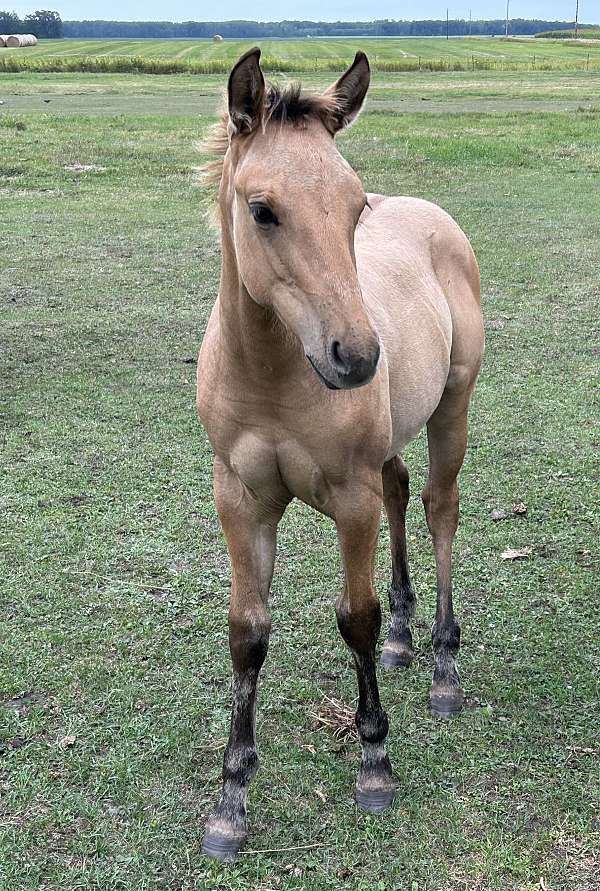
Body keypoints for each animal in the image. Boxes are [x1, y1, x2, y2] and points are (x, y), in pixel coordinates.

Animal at [196, 47, 484, 860]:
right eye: (263, 209)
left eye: (356, 207)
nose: (356, 358)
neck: (272, 376)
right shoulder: (240, 497)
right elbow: (247, 630)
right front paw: (230, 800)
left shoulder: (349, 497)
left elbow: (353, 615)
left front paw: (375, 765)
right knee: (402, 487)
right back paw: (404, 638)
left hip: (454, 404)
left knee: (439, 507)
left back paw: (443, 665)